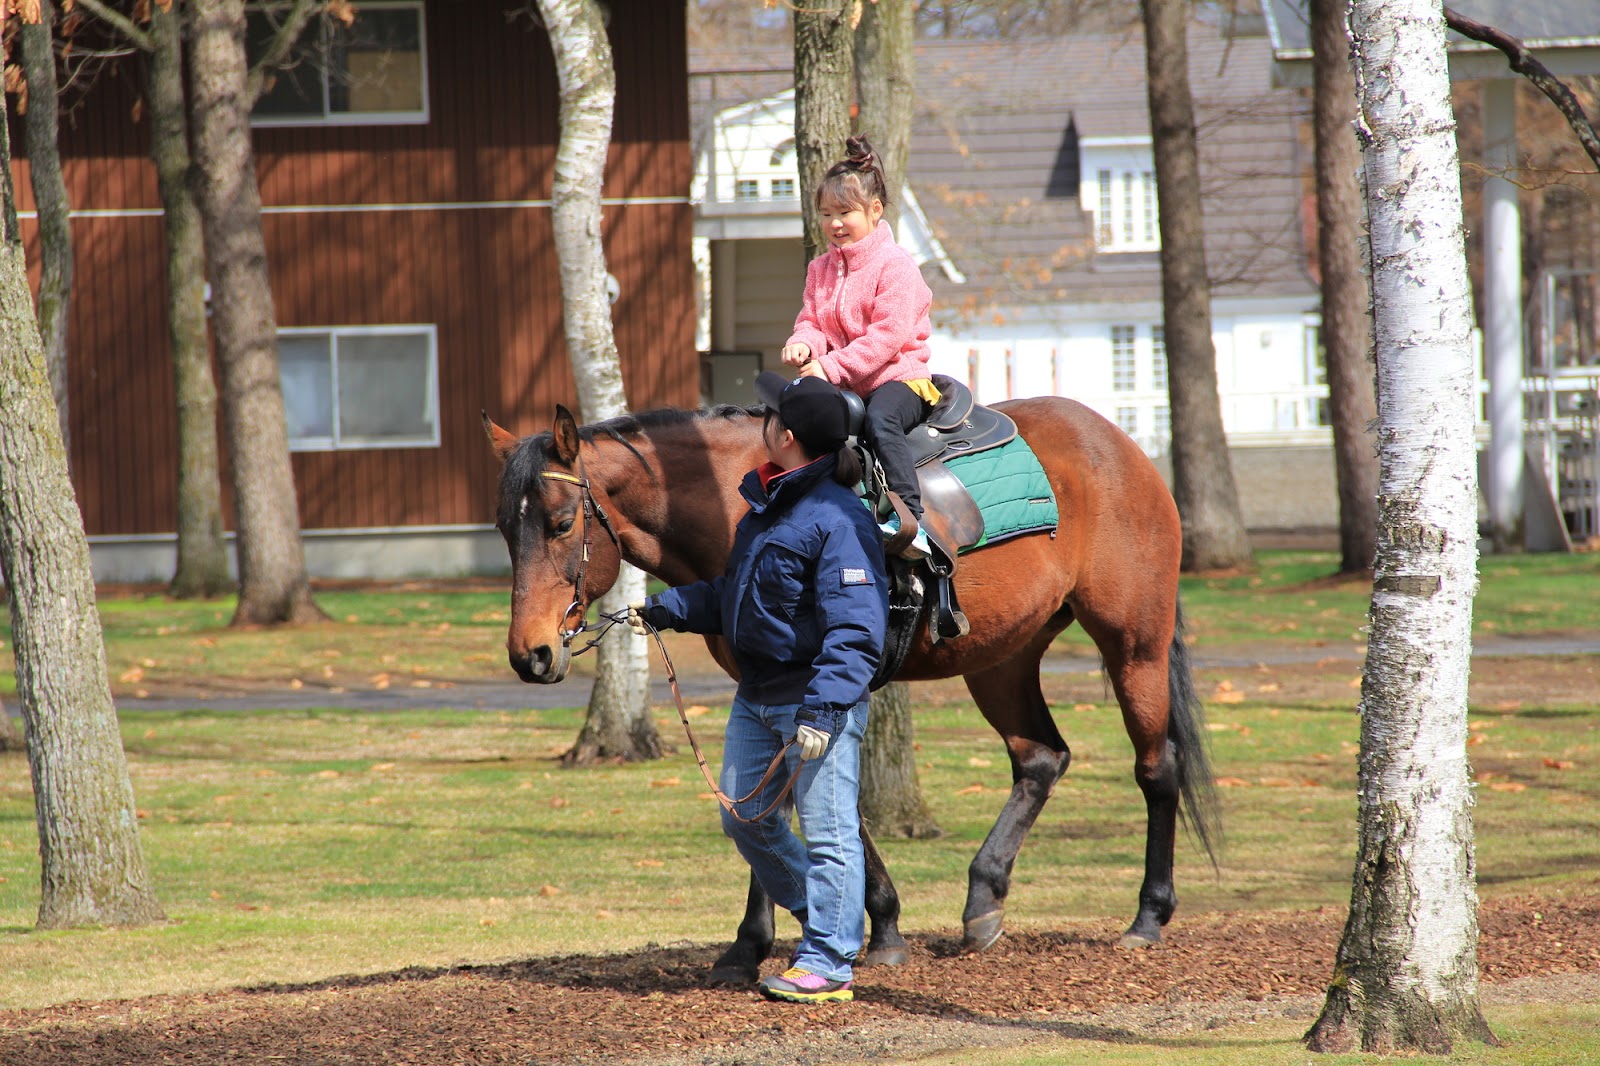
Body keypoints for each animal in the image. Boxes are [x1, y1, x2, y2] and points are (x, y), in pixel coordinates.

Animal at [483, 396, 1209, 979]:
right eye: (503, 529)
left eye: (562, 523)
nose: (531, 654)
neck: (747, 508)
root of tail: (1116, 442)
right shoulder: (768, 690)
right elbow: (772, 806)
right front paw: (771, 940)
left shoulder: (819, 687)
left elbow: (819, 805)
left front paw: (860, 930)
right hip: (1001, 658)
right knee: (1040, 759)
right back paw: (983, 899)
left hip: (1134, 643)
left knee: (1157, 768)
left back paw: (1148, 916)